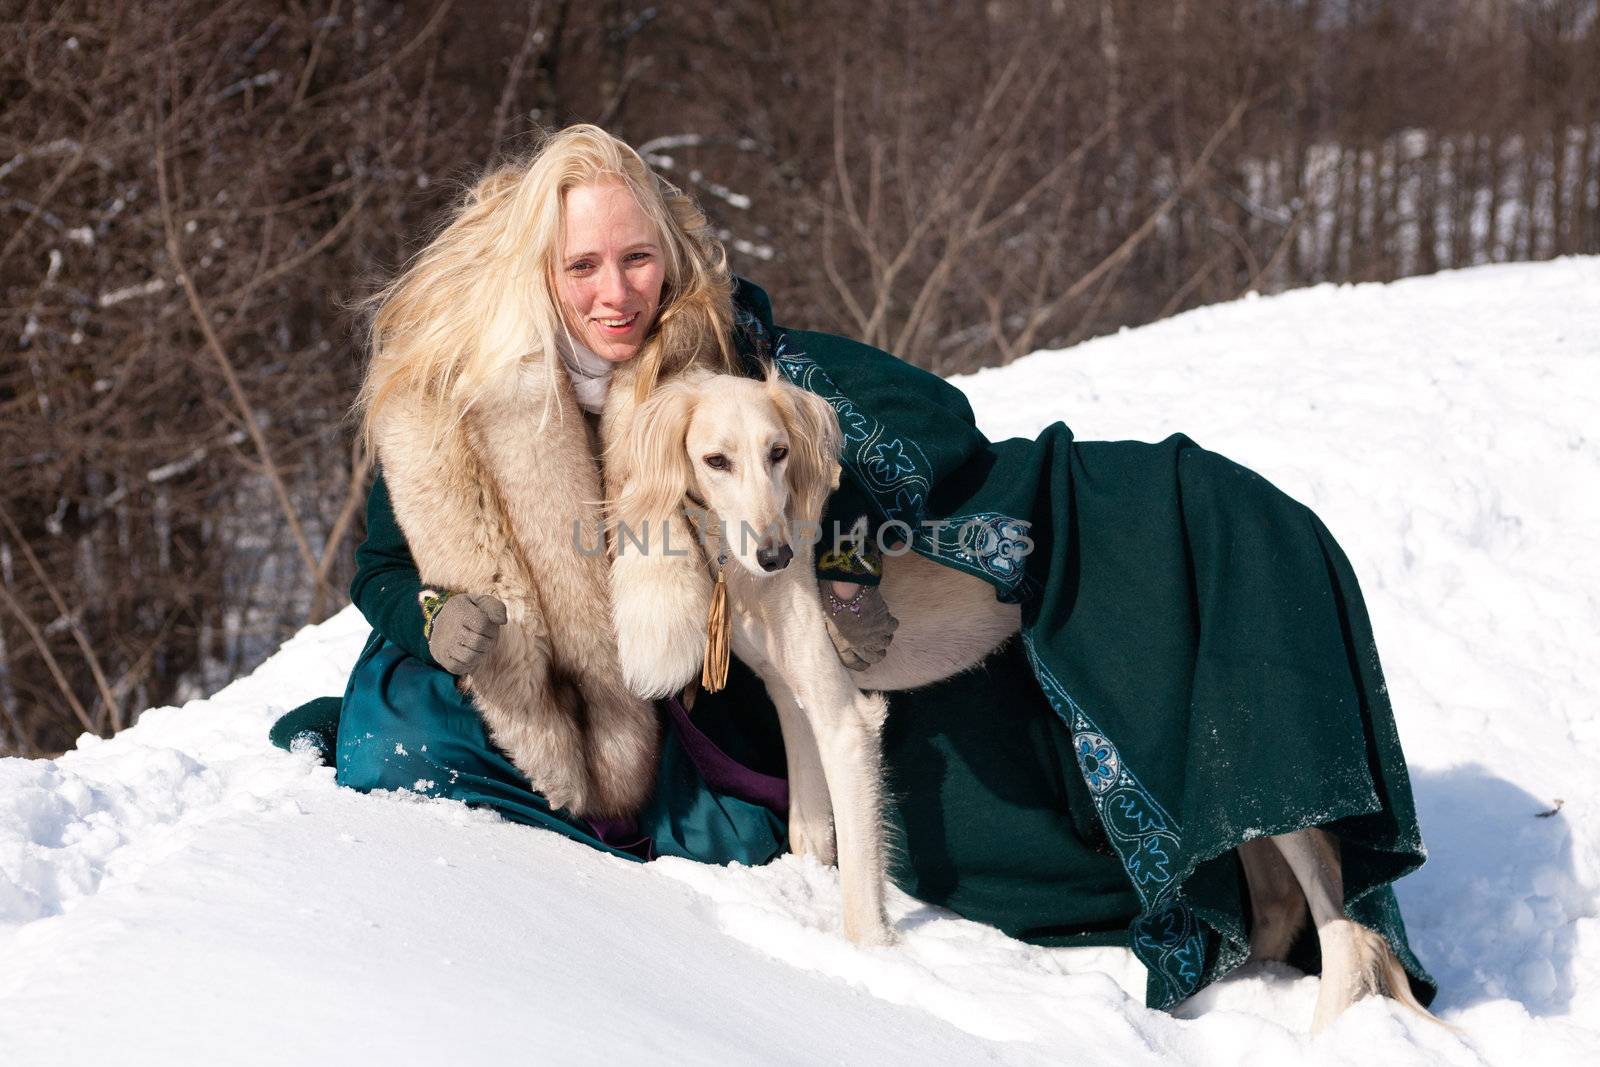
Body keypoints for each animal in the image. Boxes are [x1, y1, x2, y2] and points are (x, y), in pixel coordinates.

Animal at [604, 369, 1433, 1036]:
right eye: (716, 459)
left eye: (778, 452)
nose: (777, 555)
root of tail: (1297, 510)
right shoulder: (794, 700)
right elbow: (811, 837)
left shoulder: (846, 720)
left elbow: (860, 901)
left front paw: (874, 972)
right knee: (1282, 903)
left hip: (1270, 751)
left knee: (1348, 929)